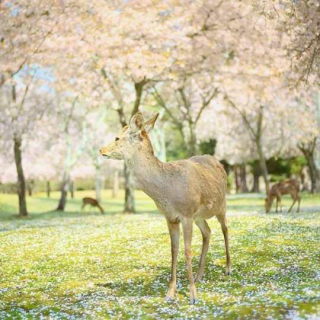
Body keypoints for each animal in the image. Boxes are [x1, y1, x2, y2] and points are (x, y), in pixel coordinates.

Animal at [100, 113, 230, 304]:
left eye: (117, 137)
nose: (101, 150)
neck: (167, 192)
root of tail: (218, 162)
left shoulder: (186, 214)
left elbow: (187, 250)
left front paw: (193, 296)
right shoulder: (170, 217)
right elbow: (174, 250)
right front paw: (170, 293)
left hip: (221, 205)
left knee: (225, 228)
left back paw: (228, 268)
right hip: (200, 216)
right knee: (208, 231)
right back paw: (199, 276)